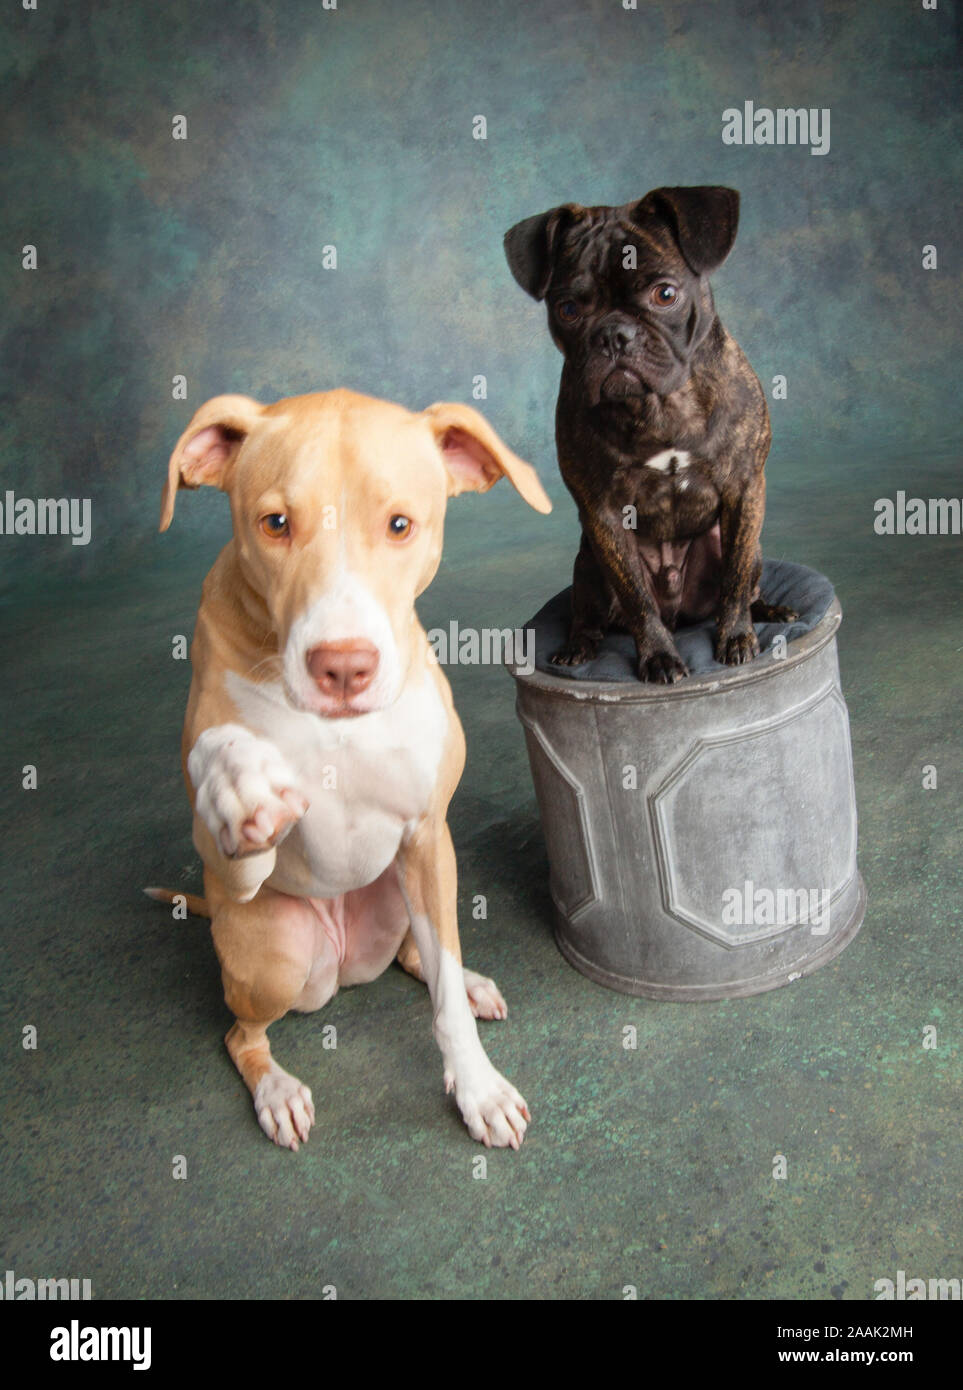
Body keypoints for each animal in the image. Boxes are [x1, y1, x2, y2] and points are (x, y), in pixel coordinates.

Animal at [157, 389, 547, 1150]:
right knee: (240, 1034)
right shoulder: (227, 862)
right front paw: (237, 779)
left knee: (425, 959)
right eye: (275, 523)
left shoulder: (427, 834)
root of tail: (343, 968)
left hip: (410, 888)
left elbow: (445, 1004)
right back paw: (276, 1089)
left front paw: (478, 1088)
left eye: (399, 524)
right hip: (270, 958)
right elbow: (220, 762)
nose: (343, 667)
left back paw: (465, 981)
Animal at [505, 184, 794, 683]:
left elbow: (736, 579)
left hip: (746, 545)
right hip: (588, 564)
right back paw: (576, 649)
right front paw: (659, 656)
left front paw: (736, 637)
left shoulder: (744, 490)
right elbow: (638, 599)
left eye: (665, 294)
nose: (614, 335)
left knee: (747, 580)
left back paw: (770, 612)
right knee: (590, 616)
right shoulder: (603, 514)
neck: (658, 403)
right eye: (567, 309)